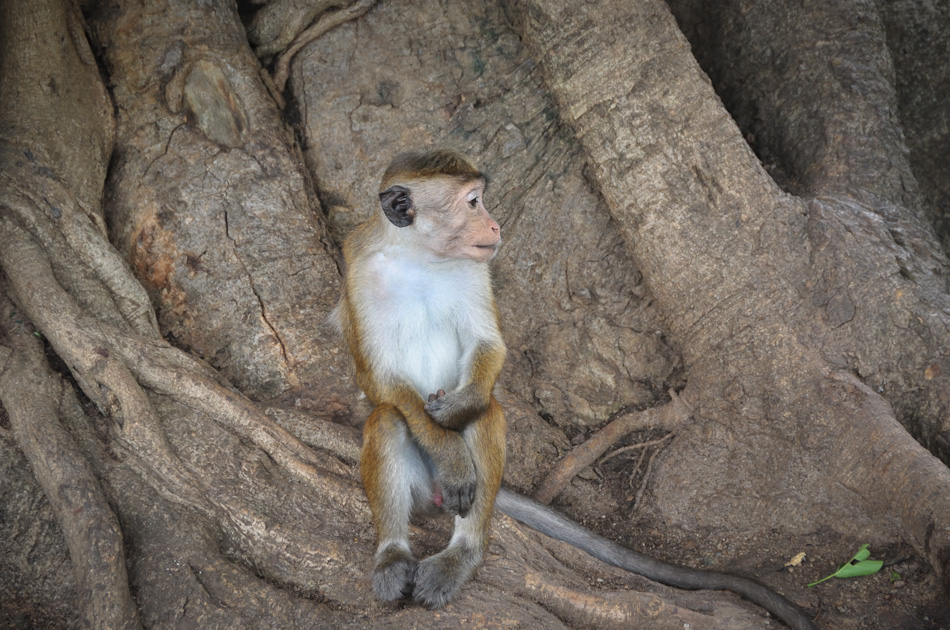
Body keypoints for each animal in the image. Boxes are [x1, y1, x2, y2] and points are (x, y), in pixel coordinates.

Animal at [336, 152, 820, 630]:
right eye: (473, 203)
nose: (495, 226)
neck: (421, 257)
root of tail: (435, 494)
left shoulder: (474, 268)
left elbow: (486, 346)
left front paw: (457, 413)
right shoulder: (358, 267)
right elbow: (377, 377)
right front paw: (451, 452)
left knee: (487, 411)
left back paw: (463, 552)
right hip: (422, 483)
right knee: (388, 419)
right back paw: (393, 553)